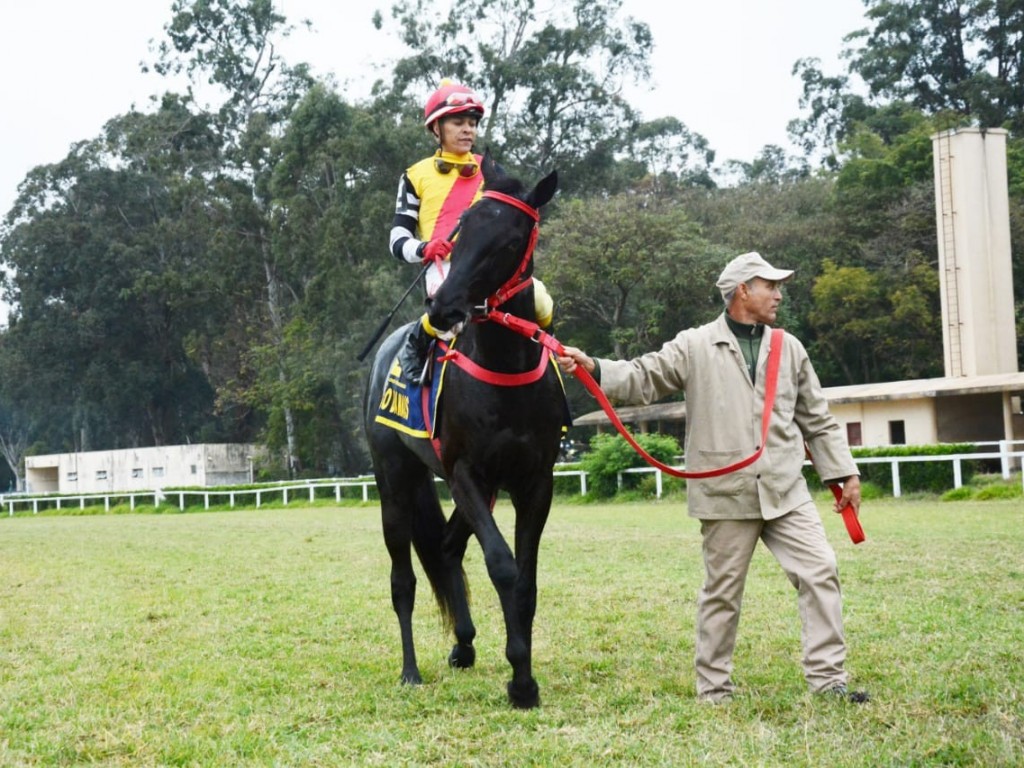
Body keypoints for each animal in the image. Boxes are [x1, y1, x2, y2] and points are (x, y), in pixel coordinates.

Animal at [364, 156, 565, 708]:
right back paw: (411, 671)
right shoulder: (464, 473)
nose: (444, 308)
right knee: (404, 579)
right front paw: (520, 678)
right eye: (460, 232)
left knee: (447, 547)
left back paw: (465, 644)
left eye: (511, 238)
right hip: (395, 483)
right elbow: (502, 565)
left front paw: (523, 677)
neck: (504, 371)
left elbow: (527, 580)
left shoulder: (533, 481)